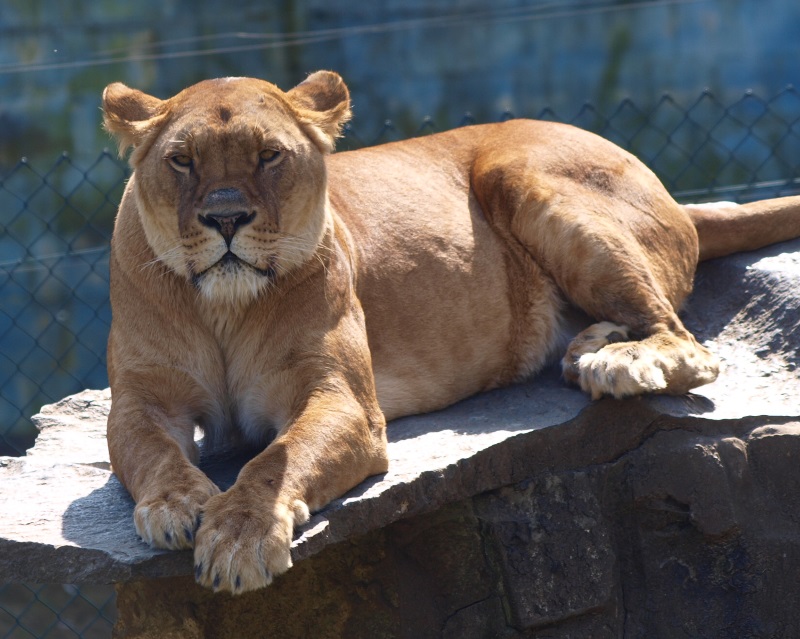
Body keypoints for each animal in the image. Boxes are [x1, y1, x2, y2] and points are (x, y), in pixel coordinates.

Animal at [102, 71, 800, 594]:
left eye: (269, 156)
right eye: (182, 161)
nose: (225, 218)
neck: (224, 308)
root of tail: (677, 198)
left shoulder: (343, 399)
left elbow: (279, 456)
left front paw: (238, 536)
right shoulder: (139, 399)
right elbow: (147, 450)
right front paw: (176, 506)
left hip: (523, 174)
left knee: (689, 343)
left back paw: (616, 362)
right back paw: (589, 345)